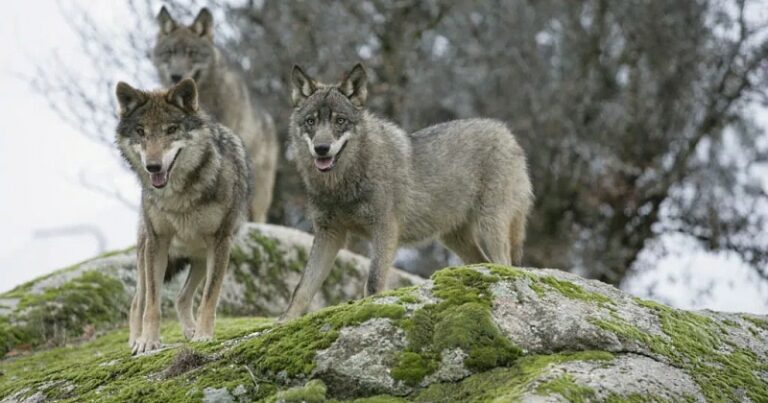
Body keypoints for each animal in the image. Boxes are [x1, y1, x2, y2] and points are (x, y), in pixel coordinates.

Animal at [115, 78, 252, 354]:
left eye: (171, 130)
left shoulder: (221, 242)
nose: (153, 167)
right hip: (146, 255)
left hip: (201, 258)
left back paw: (190, 331)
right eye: (141, 131)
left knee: (181, 297)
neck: (178, 196)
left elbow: (209, 297)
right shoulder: (157, 242)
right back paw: (135, 339)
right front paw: (148, 341)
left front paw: (203, 335)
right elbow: (152, 304)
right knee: (137, 302)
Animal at [282, 64, 536, 322]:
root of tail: (507, 133)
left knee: (505, 264)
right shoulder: (329, 234)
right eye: (311, 121)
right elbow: (302, 288)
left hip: (490, 226)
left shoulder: (385, 229)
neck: (342, 183)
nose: (321, 149)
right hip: (454, 238)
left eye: (340, 120)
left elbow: (373, 283)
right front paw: (284, 321)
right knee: (484, 263)